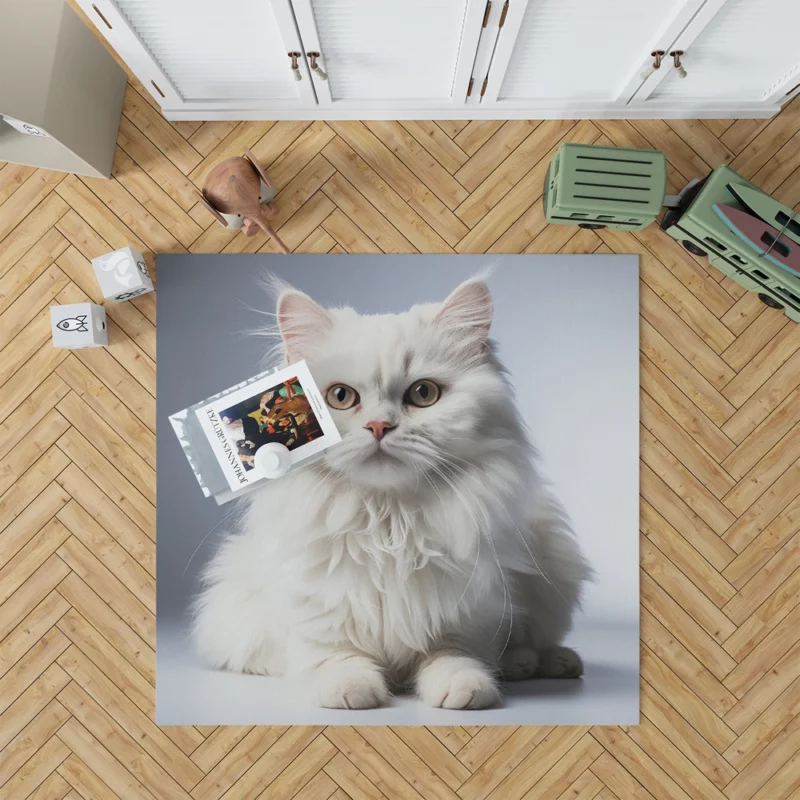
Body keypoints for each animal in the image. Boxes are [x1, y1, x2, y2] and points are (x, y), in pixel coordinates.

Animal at [193, 276, 592, 712]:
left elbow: (453, 654)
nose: (379, 426)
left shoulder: (467, 613)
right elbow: (334, 656)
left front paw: (466, 688)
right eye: (340, 397)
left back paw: (546, 662)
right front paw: (350, 689)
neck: (389, 524)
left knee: (538, 640)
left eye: (423, 394)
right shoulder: (317, 612)